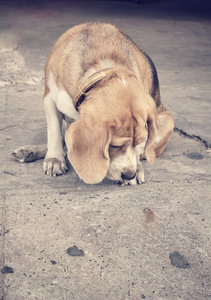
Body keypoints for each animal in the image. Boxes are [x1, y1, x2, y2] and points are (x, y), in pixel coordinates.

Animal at [13, 22, 175, 185]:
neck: (105, 68)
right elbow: (54, 133)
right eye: (114, 145)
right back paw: (29, 152)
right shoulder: (50, 96)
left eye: (141, 140)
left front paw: (137, 169)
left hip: (168, 122)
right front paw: (54, 159)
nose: (129, 175)